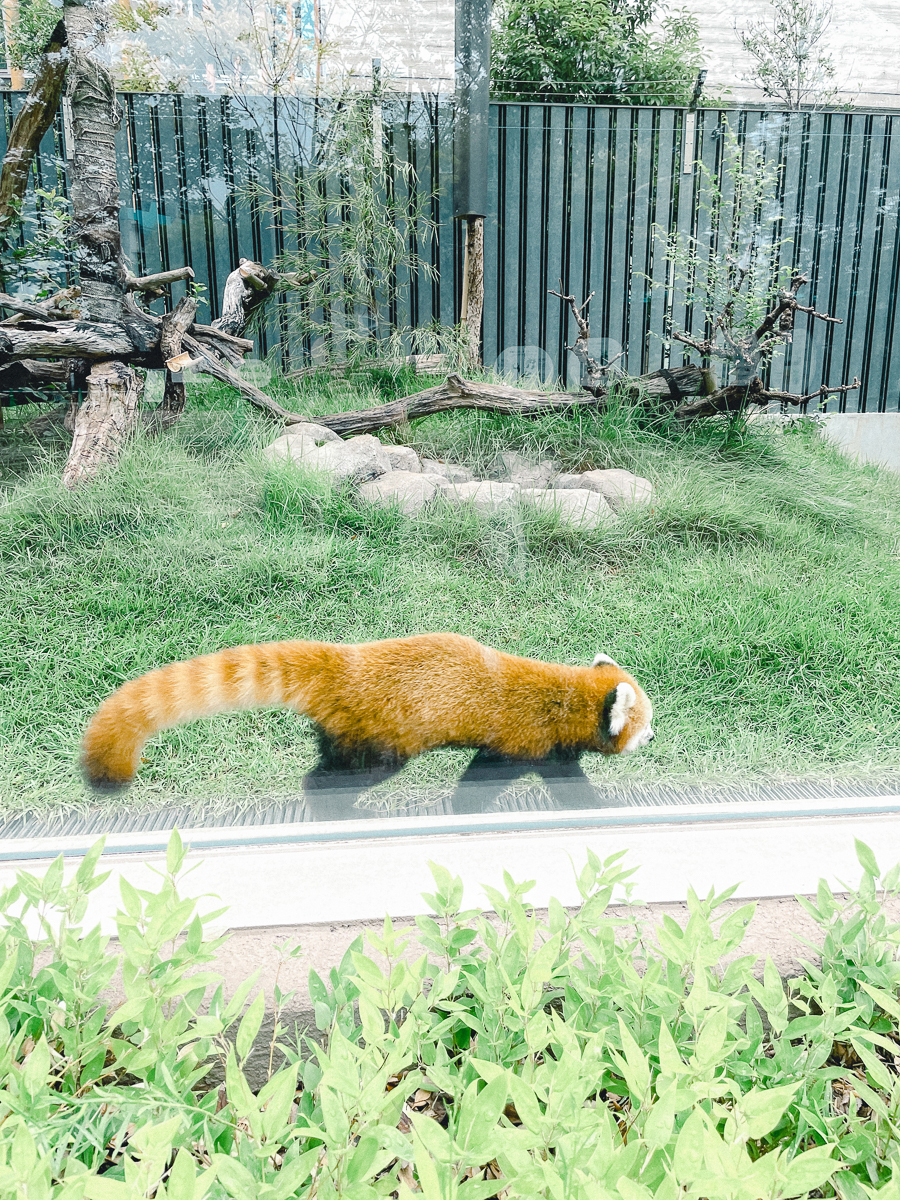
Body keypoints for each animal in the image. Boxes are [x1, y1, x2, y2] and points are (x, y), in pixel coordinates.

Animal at [79, 633, 657, 792]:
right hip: (382, 737)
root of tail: (350, 662)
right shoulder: (523, 742)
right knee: (348, 772)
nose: (652, 740)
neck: (565, 695)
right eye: (645, 725)